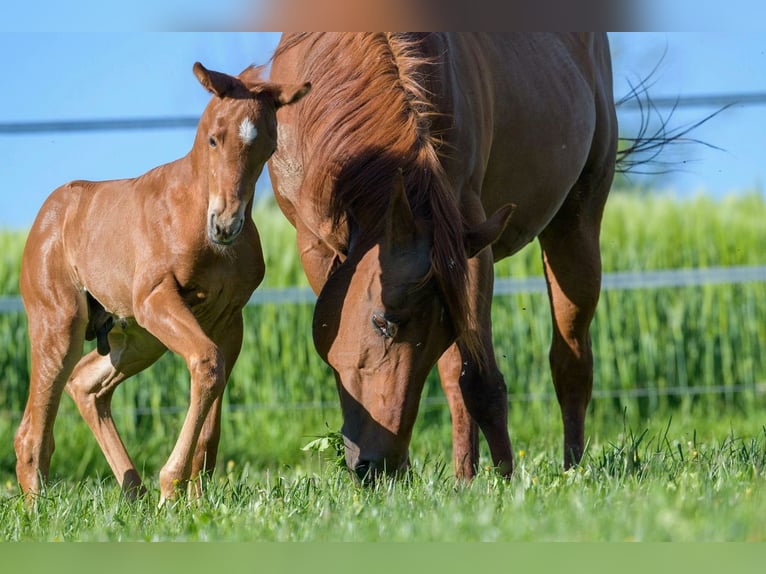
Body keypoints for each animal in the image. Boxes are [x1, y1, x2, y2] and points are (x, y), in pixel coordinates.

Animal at [15, 62, 310, 504]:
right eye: (213, 138)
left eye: (268, 147)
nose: (225, 224)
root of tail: (46, 216)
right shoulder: (155, 299)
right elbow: (206, 364)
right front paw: (172, 485)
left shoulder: (228, 319)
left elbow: (214, 387)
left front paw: (197, 498)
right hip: (61, 325)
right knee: (34, 429)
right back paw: (39, 507)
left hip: (137, 339)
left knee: (85, 385)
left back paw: (133, 493)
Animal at [268, 33, 620, 484]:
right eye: (381, 321)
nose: (381, 466)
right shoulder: (315, 245)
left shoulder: (467, 239)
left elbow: (482, 382)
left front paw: (505, 480)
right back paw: (465, 477)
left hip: (577, 222)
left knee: (569, 361)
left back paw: (569, 469)